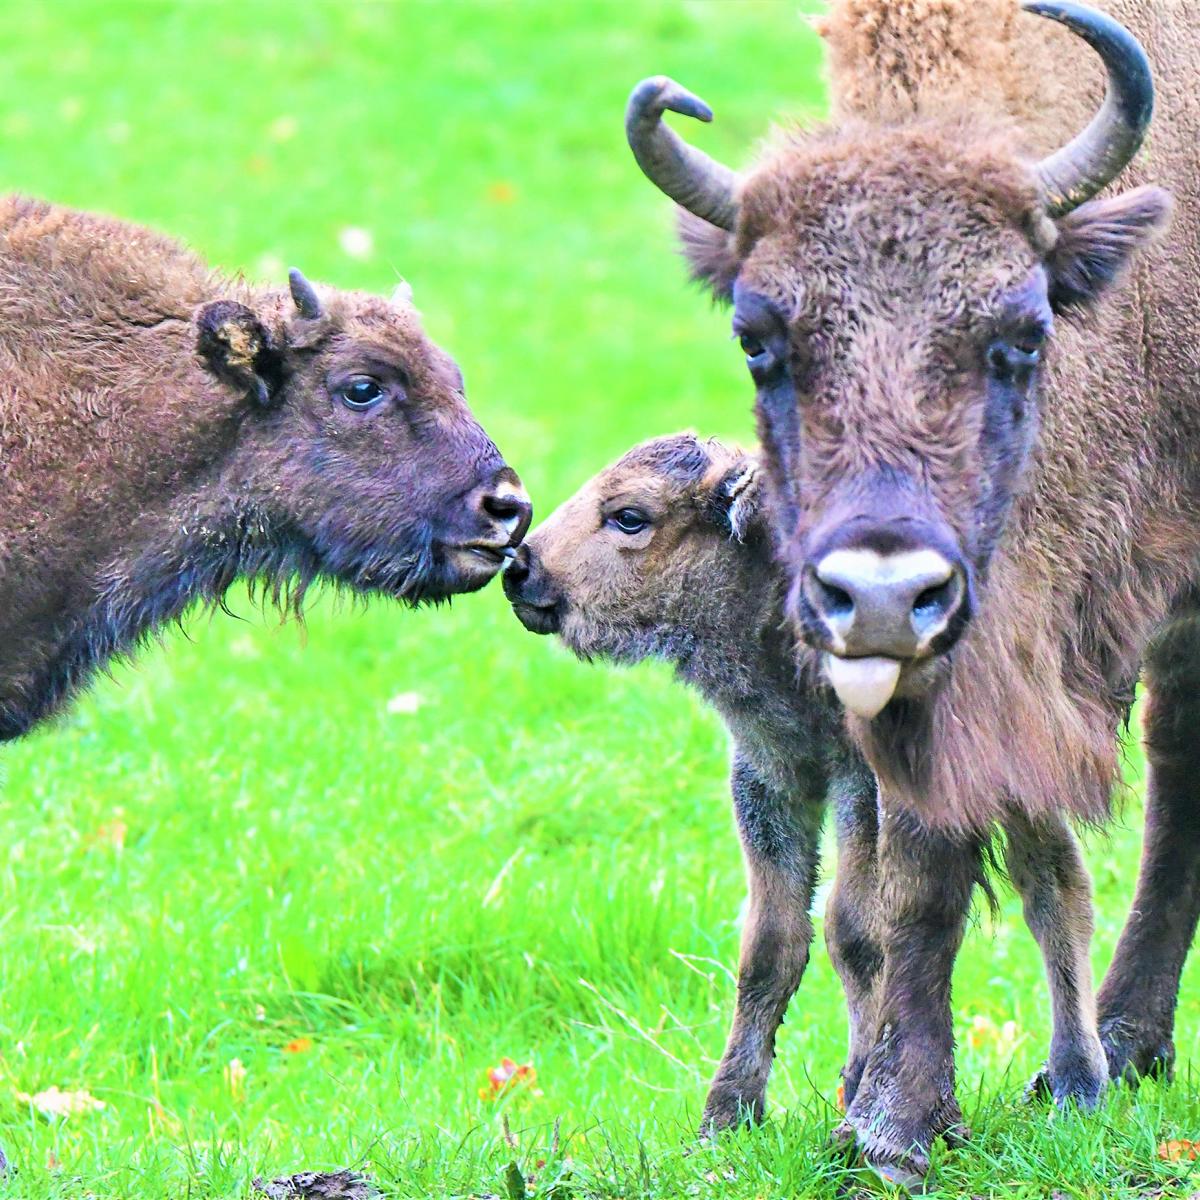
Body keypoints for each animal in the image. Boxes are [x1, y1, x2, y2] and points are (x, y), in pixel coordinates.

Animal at [504, 434, 1104, 1180]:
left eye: (631, 516)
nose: (520, 568)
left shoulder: (859, 783)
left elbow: (857, 932)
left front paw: (858, 1090)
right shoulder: (769, 781)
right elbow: (771, 945)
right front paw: (725, 1119)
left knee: (1056, 894)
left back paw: (1077, 1084)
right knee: (1050, 886)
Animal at [624, 0, 1195, 1180]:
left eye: (1023, 330)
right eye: (757, 340)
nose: (883, 594)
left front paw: (893, 1121)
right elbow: (914, 872)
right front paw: (897, 1120)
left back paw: (1120, 1040)